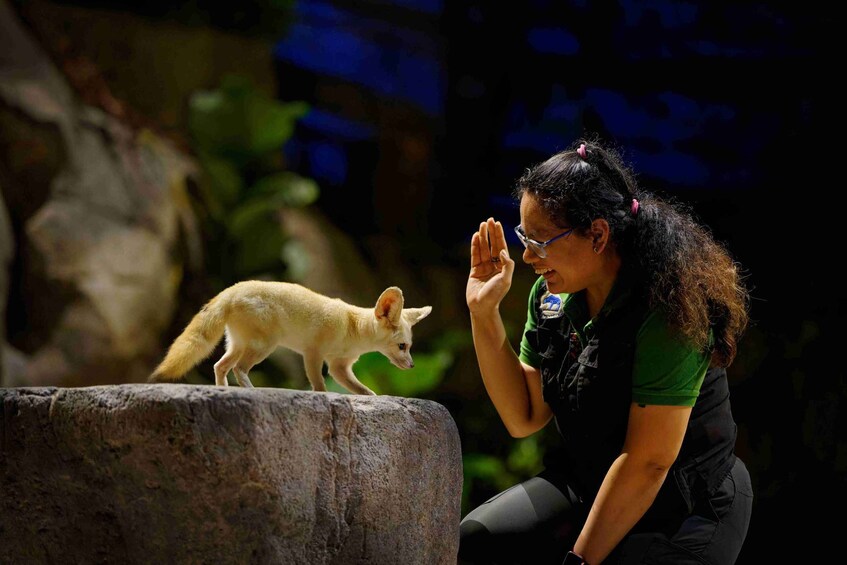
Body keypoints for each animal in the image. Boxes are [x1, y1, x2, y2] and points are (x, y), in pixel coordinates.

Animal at [148, 281, 432, 395]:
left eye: (410, 347)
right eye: (402, 346)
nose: (412, 366)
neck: (353, 327)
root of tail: (230, 290)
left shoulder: (340, 367)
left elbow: (360, 388)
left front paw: (371, 396)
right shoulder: (313, 354)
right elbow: (319, 385)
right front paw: (322, 396)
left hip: (239, 345)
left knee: (220, 365)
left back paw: (223, 390)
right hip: (264, 346)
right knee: (239, 368)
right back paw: (251, 391)